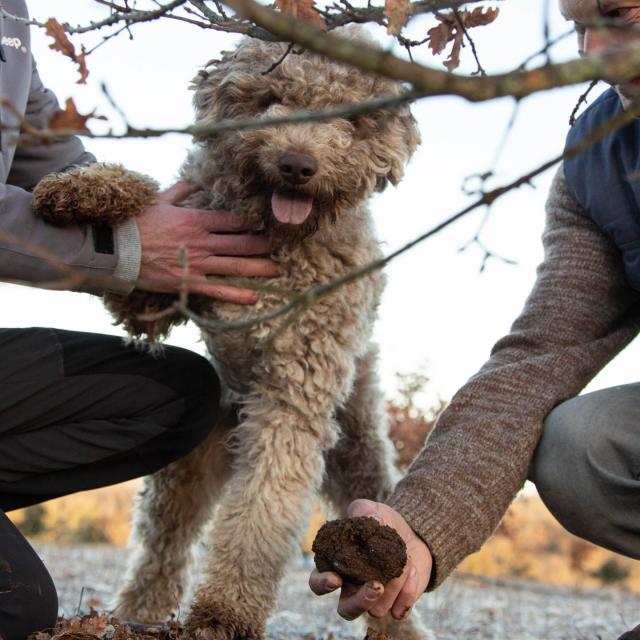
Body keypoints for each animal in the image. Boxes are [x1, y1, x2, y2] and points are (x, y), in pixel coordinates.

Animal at [32, 27, 428, 636]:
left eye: (350, 117)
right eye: (271, 97)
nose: (296, 164)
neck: (276, 236)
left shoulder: (291, 399)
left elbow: (260, 514)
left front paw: (223, 612)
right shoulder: (150, 296)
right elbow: (145, 221)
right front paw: (87, 189)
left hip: (356, 446)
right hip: (188, 464)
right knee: (164, 546)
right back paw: (135, 613)